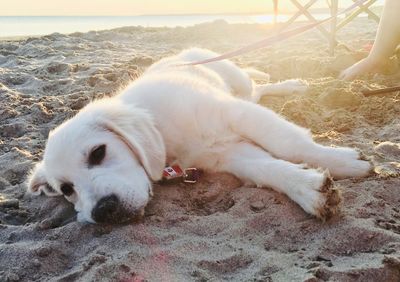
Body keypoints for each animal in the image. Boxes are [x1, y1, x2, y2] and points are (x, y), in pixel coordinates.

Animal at [27, 49, 372, 225]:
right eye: (67, 190)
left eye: (98, 153)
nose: (101, 211)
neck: (164, 132)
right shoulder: (228, 155)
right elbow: (269, 169)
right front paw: (310, 190)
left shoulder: (235, 112)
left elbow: (289, 143)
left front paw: (344, 161)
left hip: (238, 84)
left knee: (258, 88)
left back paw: (292, 86)